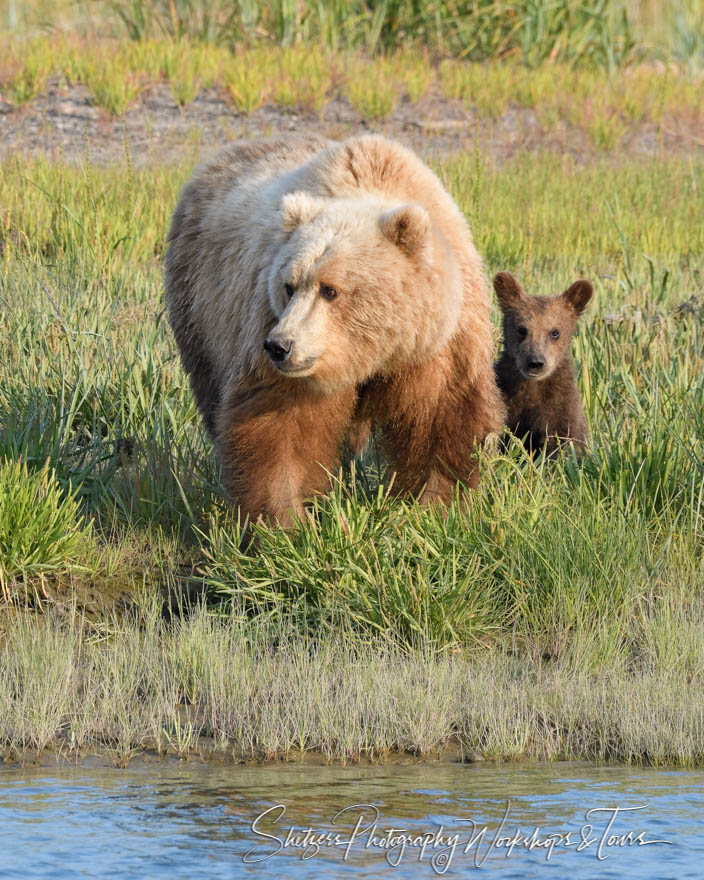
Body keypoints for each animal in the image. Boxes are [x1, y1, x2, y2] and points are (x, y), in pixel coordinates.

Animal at [165, 134, 506, 524]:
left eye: (330, 290)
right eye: (289, 285)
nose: (279, 345)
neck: (376, 353)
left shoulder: (437, 343)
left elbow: (440, 417)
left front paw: (434, 506)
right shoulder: (279, 339)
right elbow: (281, 427)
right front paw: (287, 520)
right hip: (201, 305)